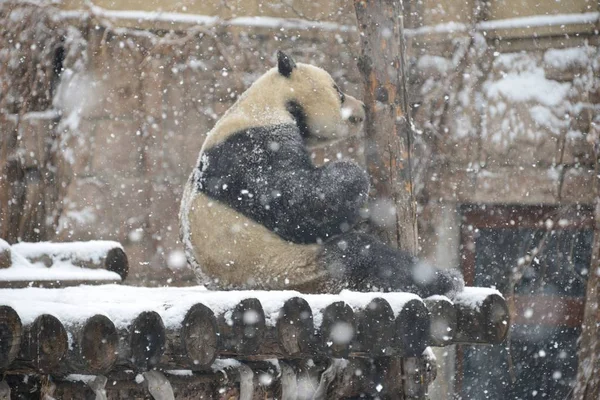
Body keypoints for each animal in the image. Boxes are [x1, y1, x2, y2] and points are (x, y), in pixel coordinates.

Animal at [179, 50, 464, 296]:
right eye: (338, 91)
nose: (361, 107)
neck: (270, 103)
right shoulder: (252, 149)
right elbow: (296, 203)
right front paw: (353, 178)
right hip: (290, 268)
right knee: (362, 256)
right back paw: (446, 280)